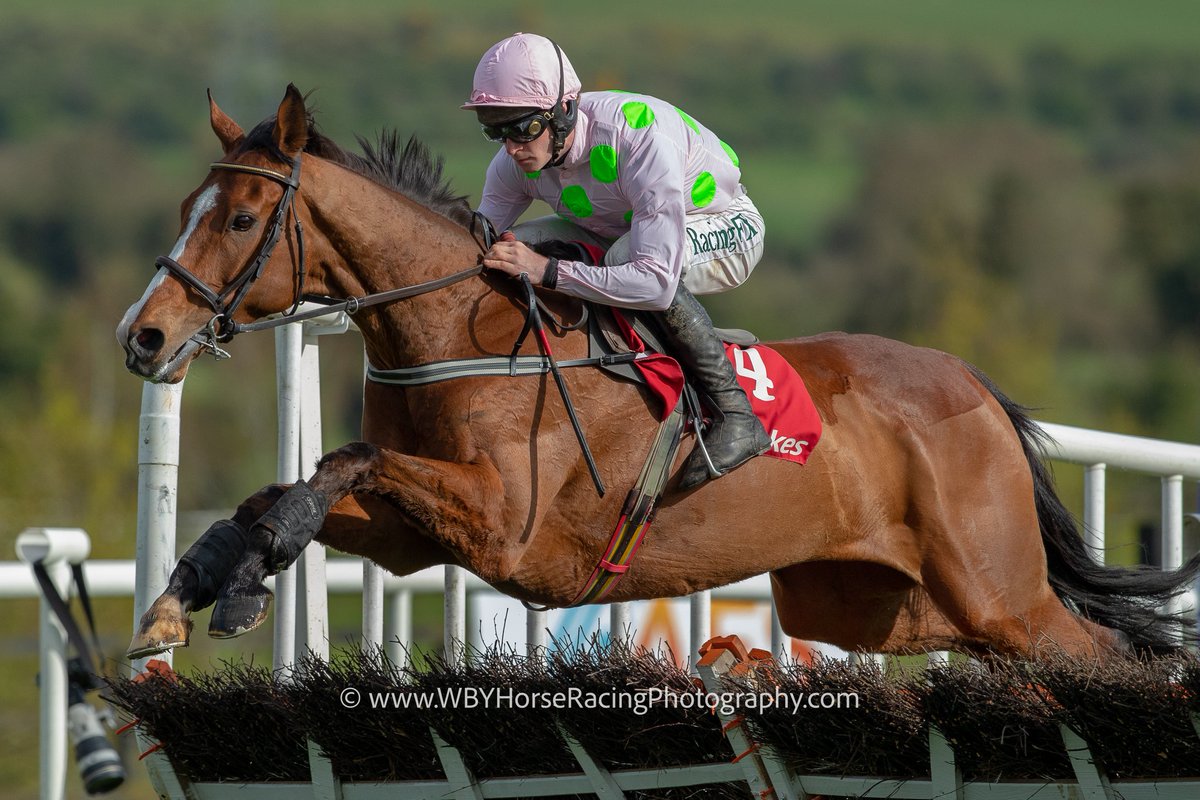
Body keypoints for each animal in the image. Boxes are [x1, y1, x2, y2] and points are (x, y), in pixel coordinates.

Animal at [118, 85, 1200, 662]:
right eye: (184, 206)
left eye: (241, 219)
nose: (144, 336)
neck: (457, 329)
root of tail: (974, 389)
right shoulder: (415, 539)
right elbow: (277, 493)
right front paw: (195, 588)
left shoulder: (503, 525)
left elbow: (341, 460)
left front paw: (241, 583)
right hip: (890, 605)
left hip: (997, 592)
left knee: (1108, 658)